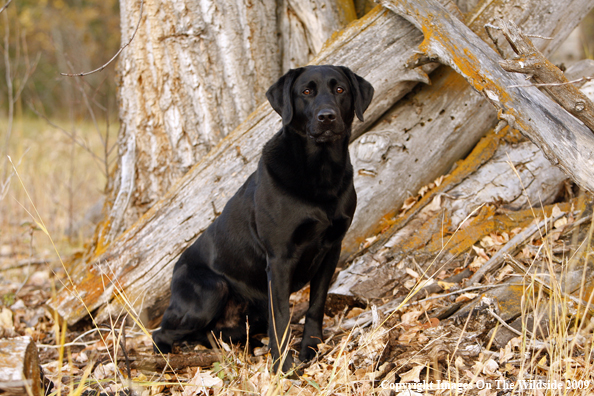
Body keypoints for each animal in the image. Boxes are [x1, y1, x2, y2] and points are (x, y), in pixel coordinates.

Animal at [153, 64, 374, 372]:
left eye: (340, 89)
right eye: (306, 91)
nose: (327, 116)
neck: (321, 173)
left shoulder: (332, 249)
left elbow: (316, 305)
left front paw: (311, 349)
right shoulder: (279, 259)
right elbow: (280, 318)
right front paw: (283, 367)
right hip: (211, 290)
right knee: (160, 332)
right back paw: (166, 358)